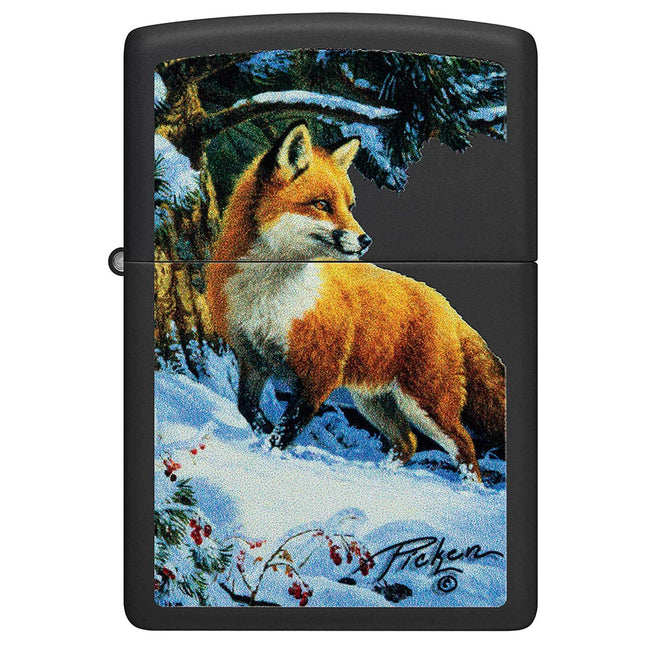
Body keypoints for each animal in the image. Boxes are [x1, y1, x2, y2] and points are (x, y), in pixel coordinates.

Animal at [206, 121, 505, 482]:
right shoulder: (252, 360)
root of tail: (444, 303)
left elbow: (286, 429)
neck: (268, 295)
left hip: (425, 403)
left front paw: (268, 457)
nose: (366, 240)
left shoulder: (320, 374)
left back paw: (470, 488)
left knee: (464, 446)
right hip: (373, 401)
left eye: (349, 206)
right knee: (407, 443)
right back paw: (383, 475)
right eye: (321, 204)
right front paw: (260, 438)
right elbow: (248, 409)